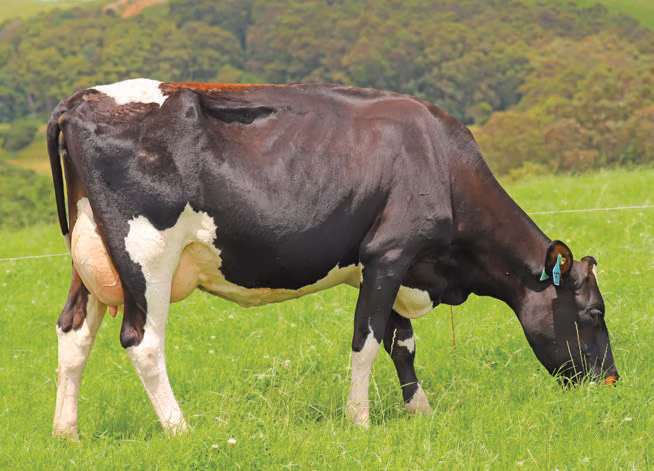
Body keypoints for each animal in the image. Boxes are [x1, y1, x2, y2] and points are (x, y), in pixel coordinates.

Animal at [47, 79, 618, 439]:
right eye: (594, 313)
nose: (612, 381)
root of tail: (80, 99)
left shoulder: (388, 265)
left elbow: (402, 343)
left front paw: (420, 412)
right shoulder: (390, 252)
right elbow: (367, 342)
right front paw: (359, 421)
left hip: (88, 257)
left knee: (73, 333)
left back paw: (66, 434)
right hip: (147, 255)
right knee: (142, 341)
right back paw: (181, 430)